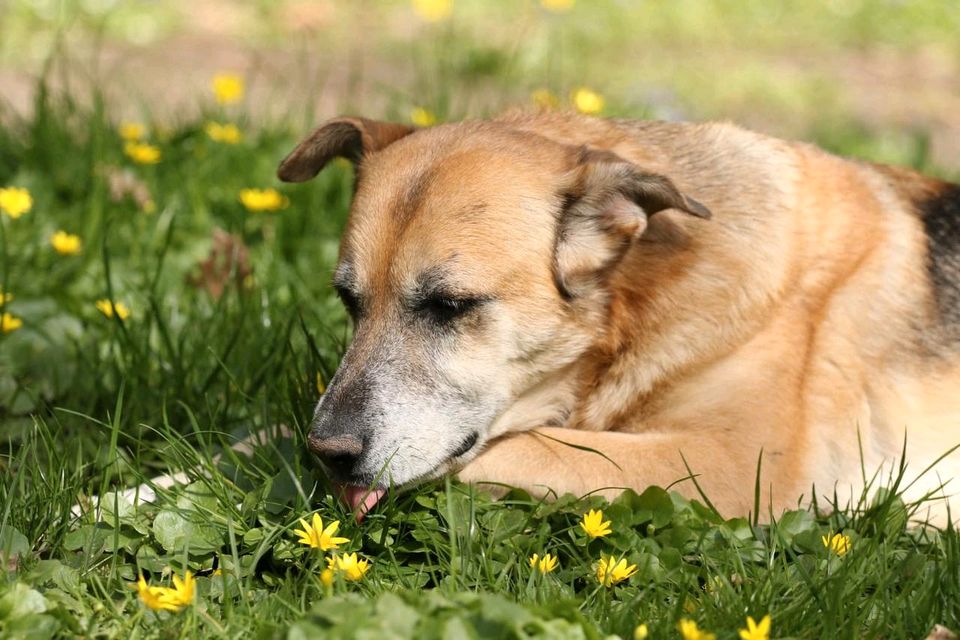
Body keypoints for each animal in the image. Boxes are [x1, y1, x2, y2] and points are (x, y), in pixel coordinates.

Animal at [276, 112, 960, 524]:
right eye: (349, 302)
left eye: (450, 306)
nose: (327, 451)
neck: (639, 299)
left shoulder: (739, 466)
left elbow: (516, 450)